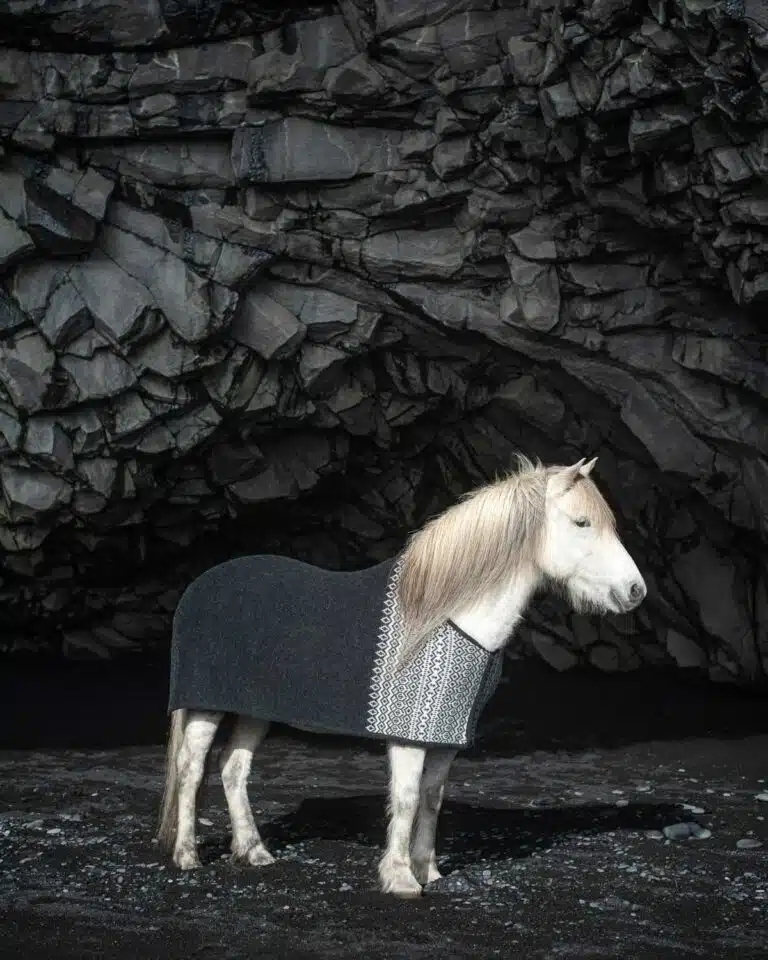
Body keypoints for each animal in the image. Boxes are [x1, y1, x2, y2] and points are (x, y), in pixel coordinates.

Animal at [156, 456, 646, 898]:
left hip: (255, 709)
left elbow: (431, 798)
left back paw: (253, 851)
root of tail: (201, 585)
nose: (635, 591)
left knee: (233, 768)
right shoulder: (408, 736)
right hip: (205, 706)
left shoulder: (445, 738)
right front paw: (400, 879)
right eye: (581, 522)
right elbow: (407, 798)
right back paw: (187, 856)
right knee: (191, 769)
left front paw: (429, 871)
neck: (446, 614)